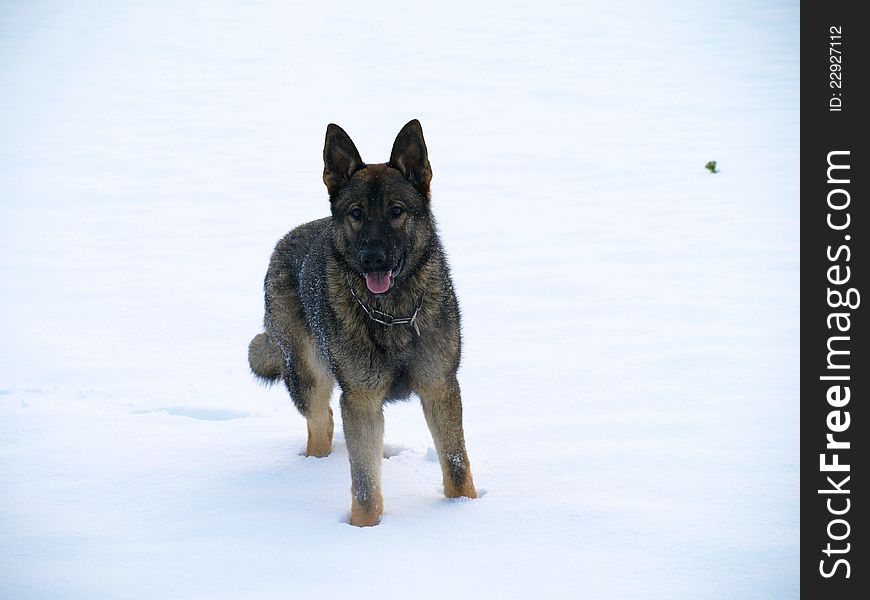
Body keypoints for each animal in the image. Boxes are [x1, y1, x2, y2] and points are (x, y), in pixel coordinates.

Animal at [249, 119, 480, 524]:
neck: (392, 313)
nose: (373, 259)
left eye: (396, 211)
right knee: (322, 421)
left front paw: (464, 510)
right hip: (308, 377)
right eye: (356, 213)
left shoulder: (439, 387)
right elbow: (365, 484)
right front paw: (364, 529)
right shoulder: (361, 400)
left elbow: (456, 465)